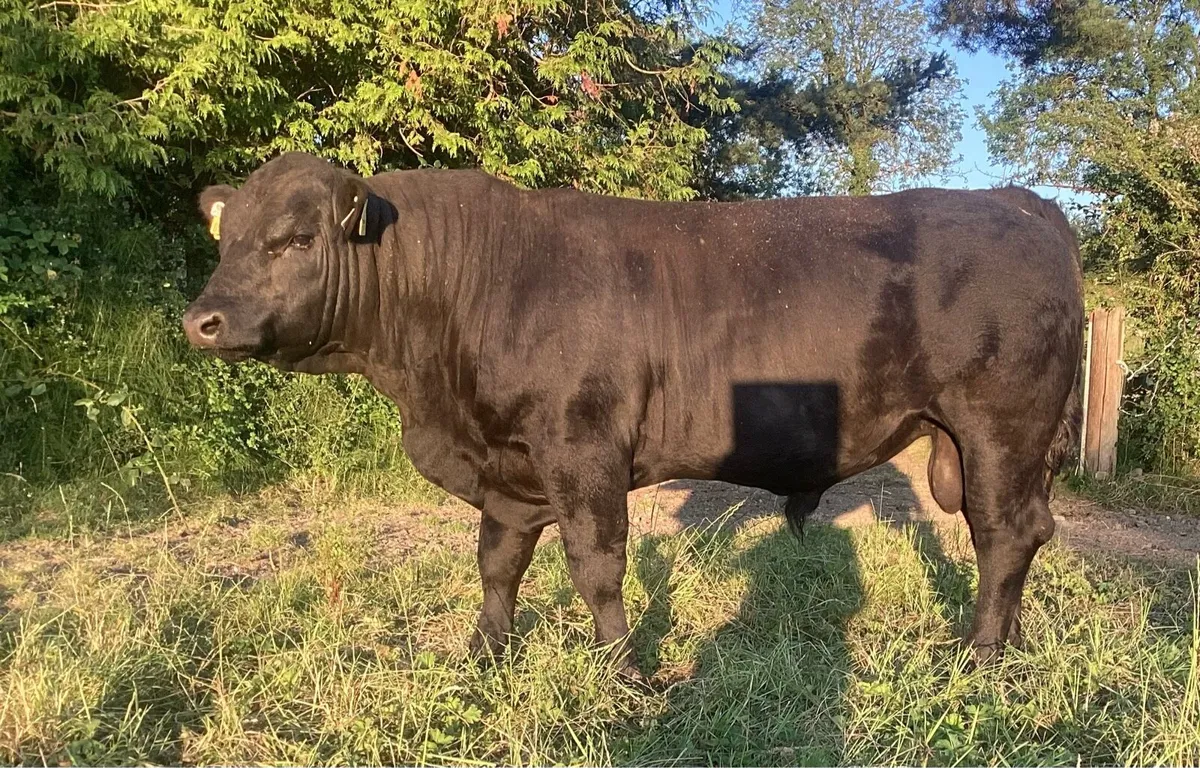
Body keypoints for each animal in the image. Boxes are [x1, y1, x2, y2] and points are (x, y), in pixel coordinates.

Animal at [183, 152, 1084, 675]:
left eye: (297, 239)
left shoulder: (582, 449)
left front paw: (621, 670)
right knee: (1015, 534)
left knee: (1004, 534)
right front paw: (483, 654)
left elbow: (595, 566)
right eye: (229, 238)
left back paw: (980, 655)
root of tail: (1019, 203)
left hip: (1000, 428)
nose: (202, 321)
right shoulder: (511, 470)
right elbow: (497, 564)